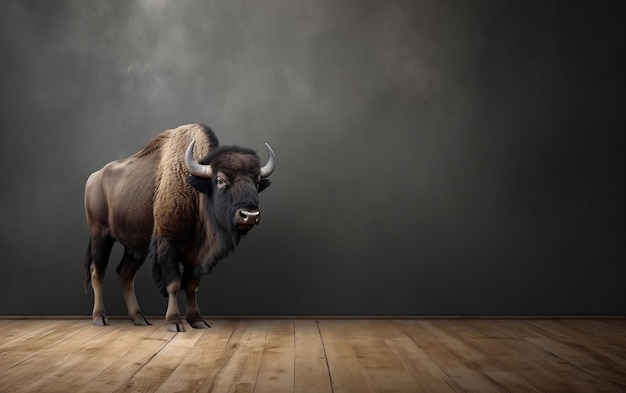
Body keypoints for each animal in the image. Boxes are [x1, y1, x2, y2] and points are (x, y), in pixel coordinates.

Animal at [83, 123, 272, 330]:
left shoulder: (197, 255)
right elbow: (173, 283)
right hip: (101, 237)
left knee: (125, 274)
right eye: (220, 180)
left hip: (135, 248)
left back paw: (139, 318)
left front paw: (197, 321)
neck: (197, 190)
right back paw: (100, 318)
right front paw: (174, 322)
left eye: (256, 181)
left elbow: (191, 285)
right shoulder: (168, 244)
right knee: (97, 272)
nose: (250, 215)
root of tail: (93, 178)